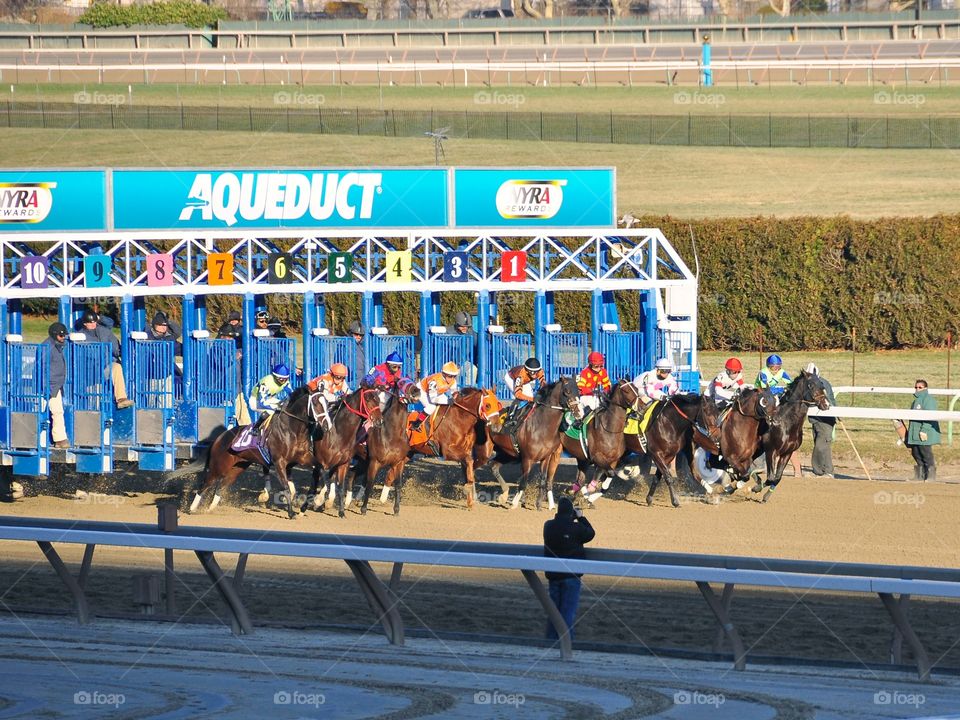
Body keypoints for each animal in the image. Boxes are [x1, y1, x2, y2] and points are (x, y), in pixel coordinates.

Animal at [189, 388, 320, 516]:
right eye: (316, 403)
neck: (291, 430)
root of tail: (219, 438)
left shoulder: (297, 460)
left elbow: (310, 474)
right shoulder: (279, 462)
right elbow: (286, 488)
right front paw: (291, 513)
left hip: (238, 467)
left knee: (220, 486)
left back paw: (210, 509)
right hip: (219, 467)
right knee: (205, 484)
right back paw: (192, 508)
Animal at [492, 376, 580, 512]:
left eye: (578, 391)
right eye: (567, 391)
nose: (578, 413)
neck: (542, 426)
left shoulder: (545, 458)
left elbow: (543, 480)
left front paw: (539, 505)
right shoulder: (527, 458)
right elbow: (524, 481)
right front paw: (514, 503)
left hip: (507, 454)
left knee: (494, 467)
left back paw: (503, 496)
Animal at [760, 372, 828, 500]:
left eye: (822, 384)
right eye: (811, 385)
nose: (826, 404)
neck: (784, 423)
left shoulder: (787, 453)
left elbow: (777, 478)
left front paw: (765, 496)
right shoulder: (771, 451)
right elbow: (770, 477)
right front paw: (753, 488)